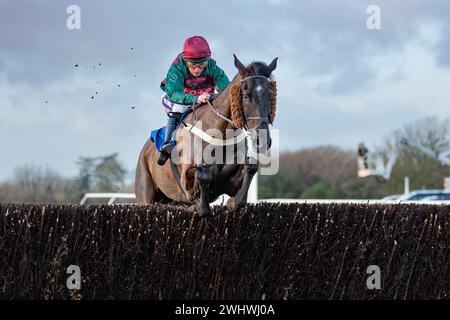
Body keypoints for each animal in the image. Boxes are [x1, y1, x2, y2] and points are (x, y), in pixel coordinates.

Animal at [134, 53, 276, 216]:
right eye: (246, 96)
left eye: (270, 95)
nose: (263, 139)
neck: (220, 135)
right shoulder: (186, 179)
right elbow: (202, 178)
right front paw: (198, 206)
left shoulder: (230, 183)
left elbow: (250, 168)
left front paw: (233, 202)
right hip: (146, 193)